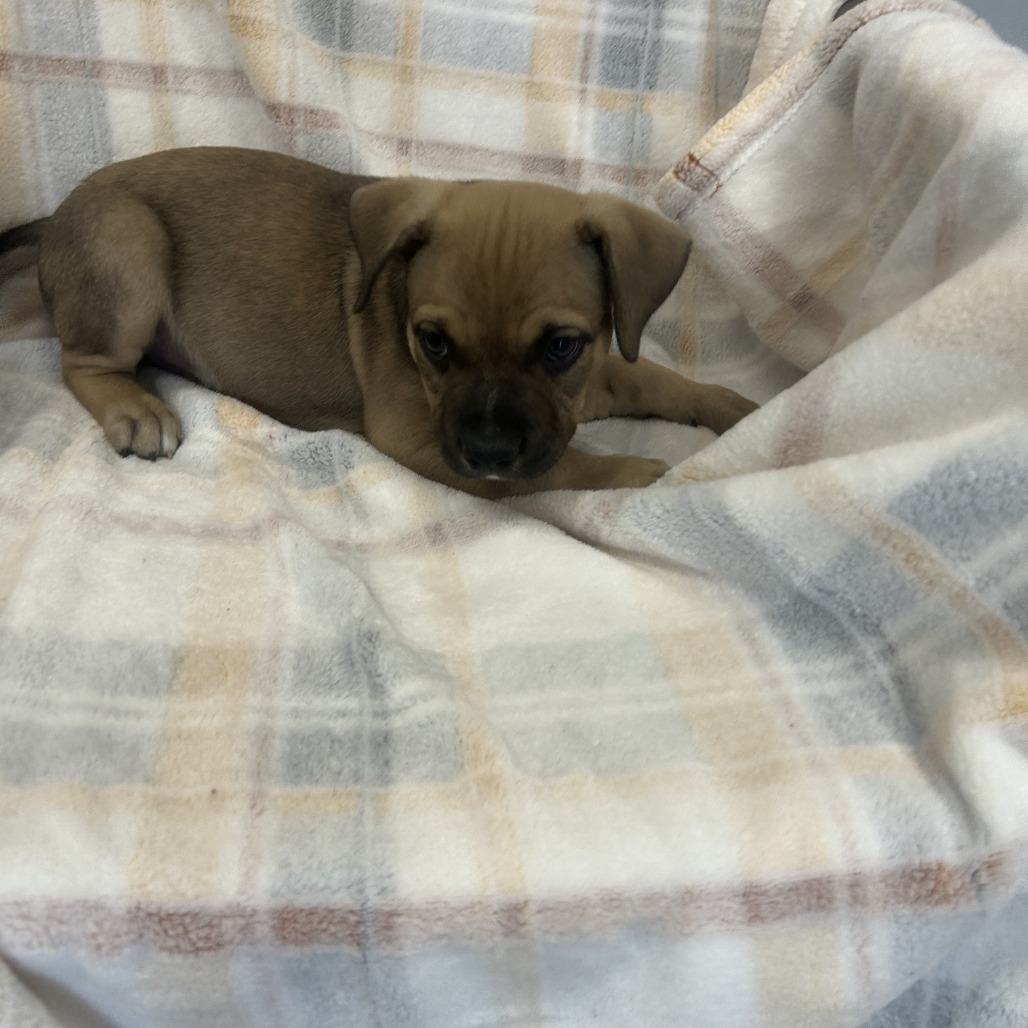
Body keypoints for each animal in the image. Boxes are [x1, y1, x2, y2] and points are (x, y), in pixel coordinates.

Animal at [0, 147, 756, 497]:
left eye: (562, 348)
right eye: (433, 343)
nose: (486, 452)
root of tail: (60, 212)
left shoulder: (590, 377)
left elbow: (656, 380)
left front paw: (736, 410)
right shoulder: (419, 441)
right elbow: (566, 469)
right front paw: (641, 473)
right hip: (126, 244)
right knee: (84, 362)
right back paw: (136, 410)